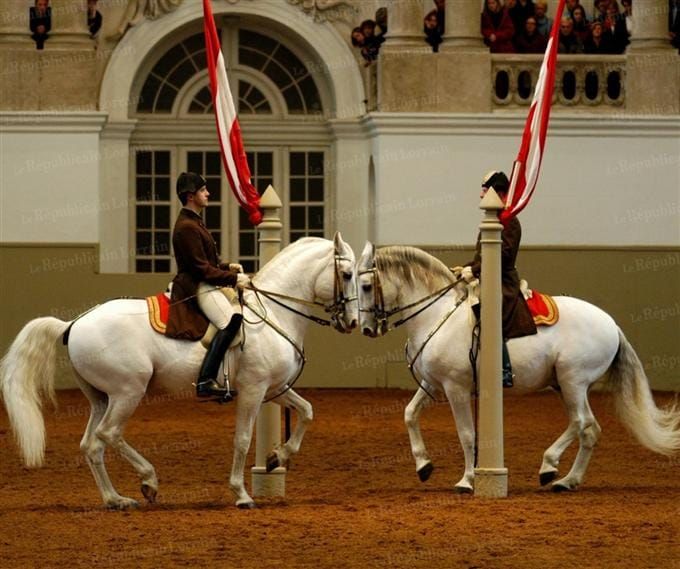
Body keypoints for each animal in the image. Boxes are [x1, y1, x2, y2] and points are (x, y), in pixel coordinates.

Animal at [1, 233, 357, 509]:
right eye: (348, 275)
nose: (353, 322)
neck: (271, 313)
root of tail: (74, 323)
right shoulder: (254, 390)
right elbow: (243, 439)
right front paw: (242, 494)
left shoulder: (273, 389)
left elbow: (307, 411)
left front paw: (277, 457)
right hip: (127, 391)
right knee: (109, 434)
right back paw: (149, 481)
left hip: (101, 397)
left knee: (92, 445)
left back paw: (116, 500)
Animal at [356, 243, 680, 493]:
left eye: (366, 286)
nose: (366, 328)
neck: (438, 314)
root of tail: (612, 324)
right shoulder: (433, 384)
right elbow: (409, 414)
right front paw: (424, 466)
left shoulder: (455, 388)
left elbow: (467, 434)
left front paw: (467, 480)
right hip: (566, 386)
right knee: (589, 429)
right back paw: (567, 481)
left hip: (572, 380)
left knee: (580, 422)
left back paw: (549, 466)